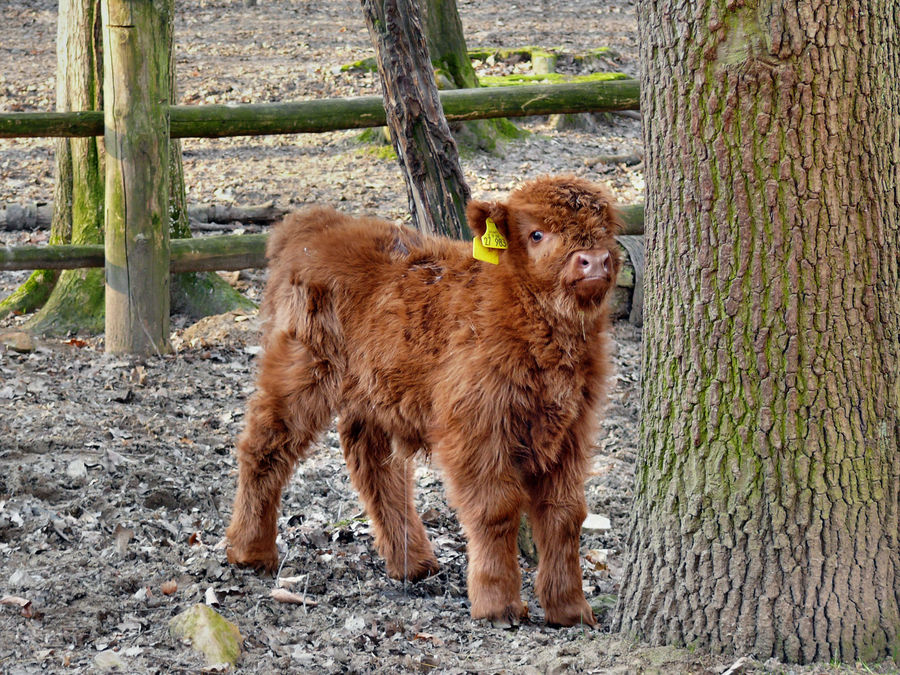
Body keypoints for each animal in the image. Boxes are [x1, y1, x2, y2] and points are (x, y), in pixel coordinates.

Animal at [227, 176, 620, 628]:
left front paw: (569, 607)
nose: (594, 261)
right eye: (537, 234)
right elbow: (496, 509)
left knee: (374, 465)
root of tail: (312, 222)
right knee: (265, 444)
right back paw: (250, 550)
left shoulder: (573, 429)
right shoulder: (475, 428)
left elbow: (565, 514)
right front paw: (498, 604)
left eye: (606, 230)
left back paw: (411, 561)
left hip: (374, 390)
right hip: (301, 369)